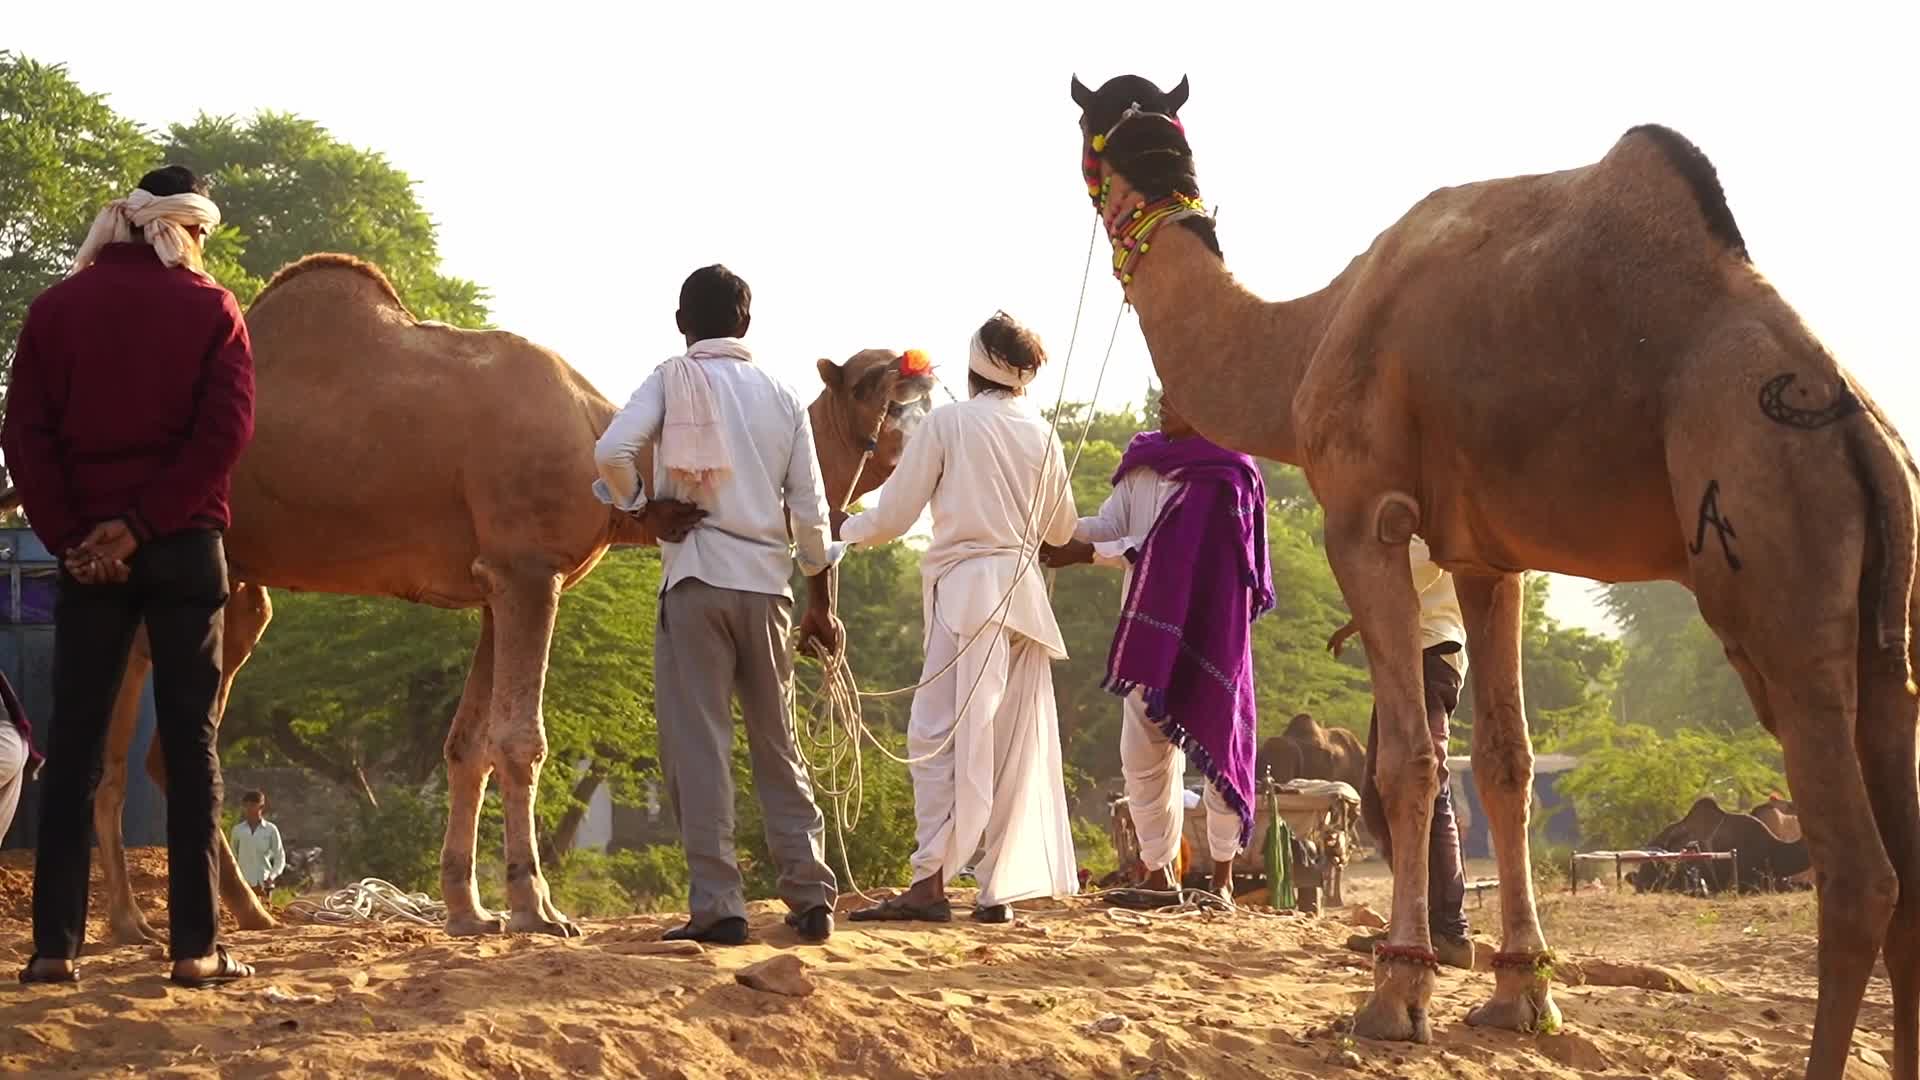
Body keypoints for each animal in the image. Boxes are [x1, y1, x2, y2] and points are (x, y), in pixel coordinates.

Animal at [0, 253, 935, 942]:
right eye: (875, 388)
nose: (919, 400)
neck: (607, 444)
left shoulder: (496, 583)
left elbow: (467, 745)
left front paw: (468, 908)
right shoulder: (528, 567)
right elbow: (522, 741)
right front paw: (536, 910)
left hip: (219, 584)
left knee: (137, 743)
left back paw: (185, 918)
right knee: (144, 742)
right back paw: (182, 921)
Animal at [1069, 74, 1919, 1079]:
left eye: (1089, 131)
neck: (1310, 336)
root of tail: (1861, 432)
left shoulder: (1365, 513)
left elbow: (1410, 760)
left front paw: (1396, 995)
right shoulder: (1486, 556)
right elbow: (1505, 765)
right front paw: (1521, 995)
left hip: (1772, 556)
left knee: (1859, 873)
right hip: (1885, 628)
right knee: (1905, 861)